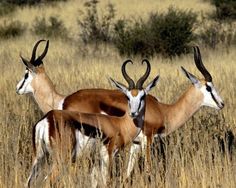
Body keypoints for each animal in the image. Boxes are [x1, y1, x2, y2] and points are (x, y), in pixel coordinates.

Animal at [25, 60, 159, 187]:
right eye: (127, 96)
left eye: (142, 96)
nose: (133, 113)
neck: (119, 124)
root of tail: (47, 119)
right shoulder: (107, 155)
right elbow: (106, 181)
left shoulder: (95, 160)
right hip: (61, 160)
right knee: (48, 181)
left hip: (39, 158)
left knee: (29, 181)